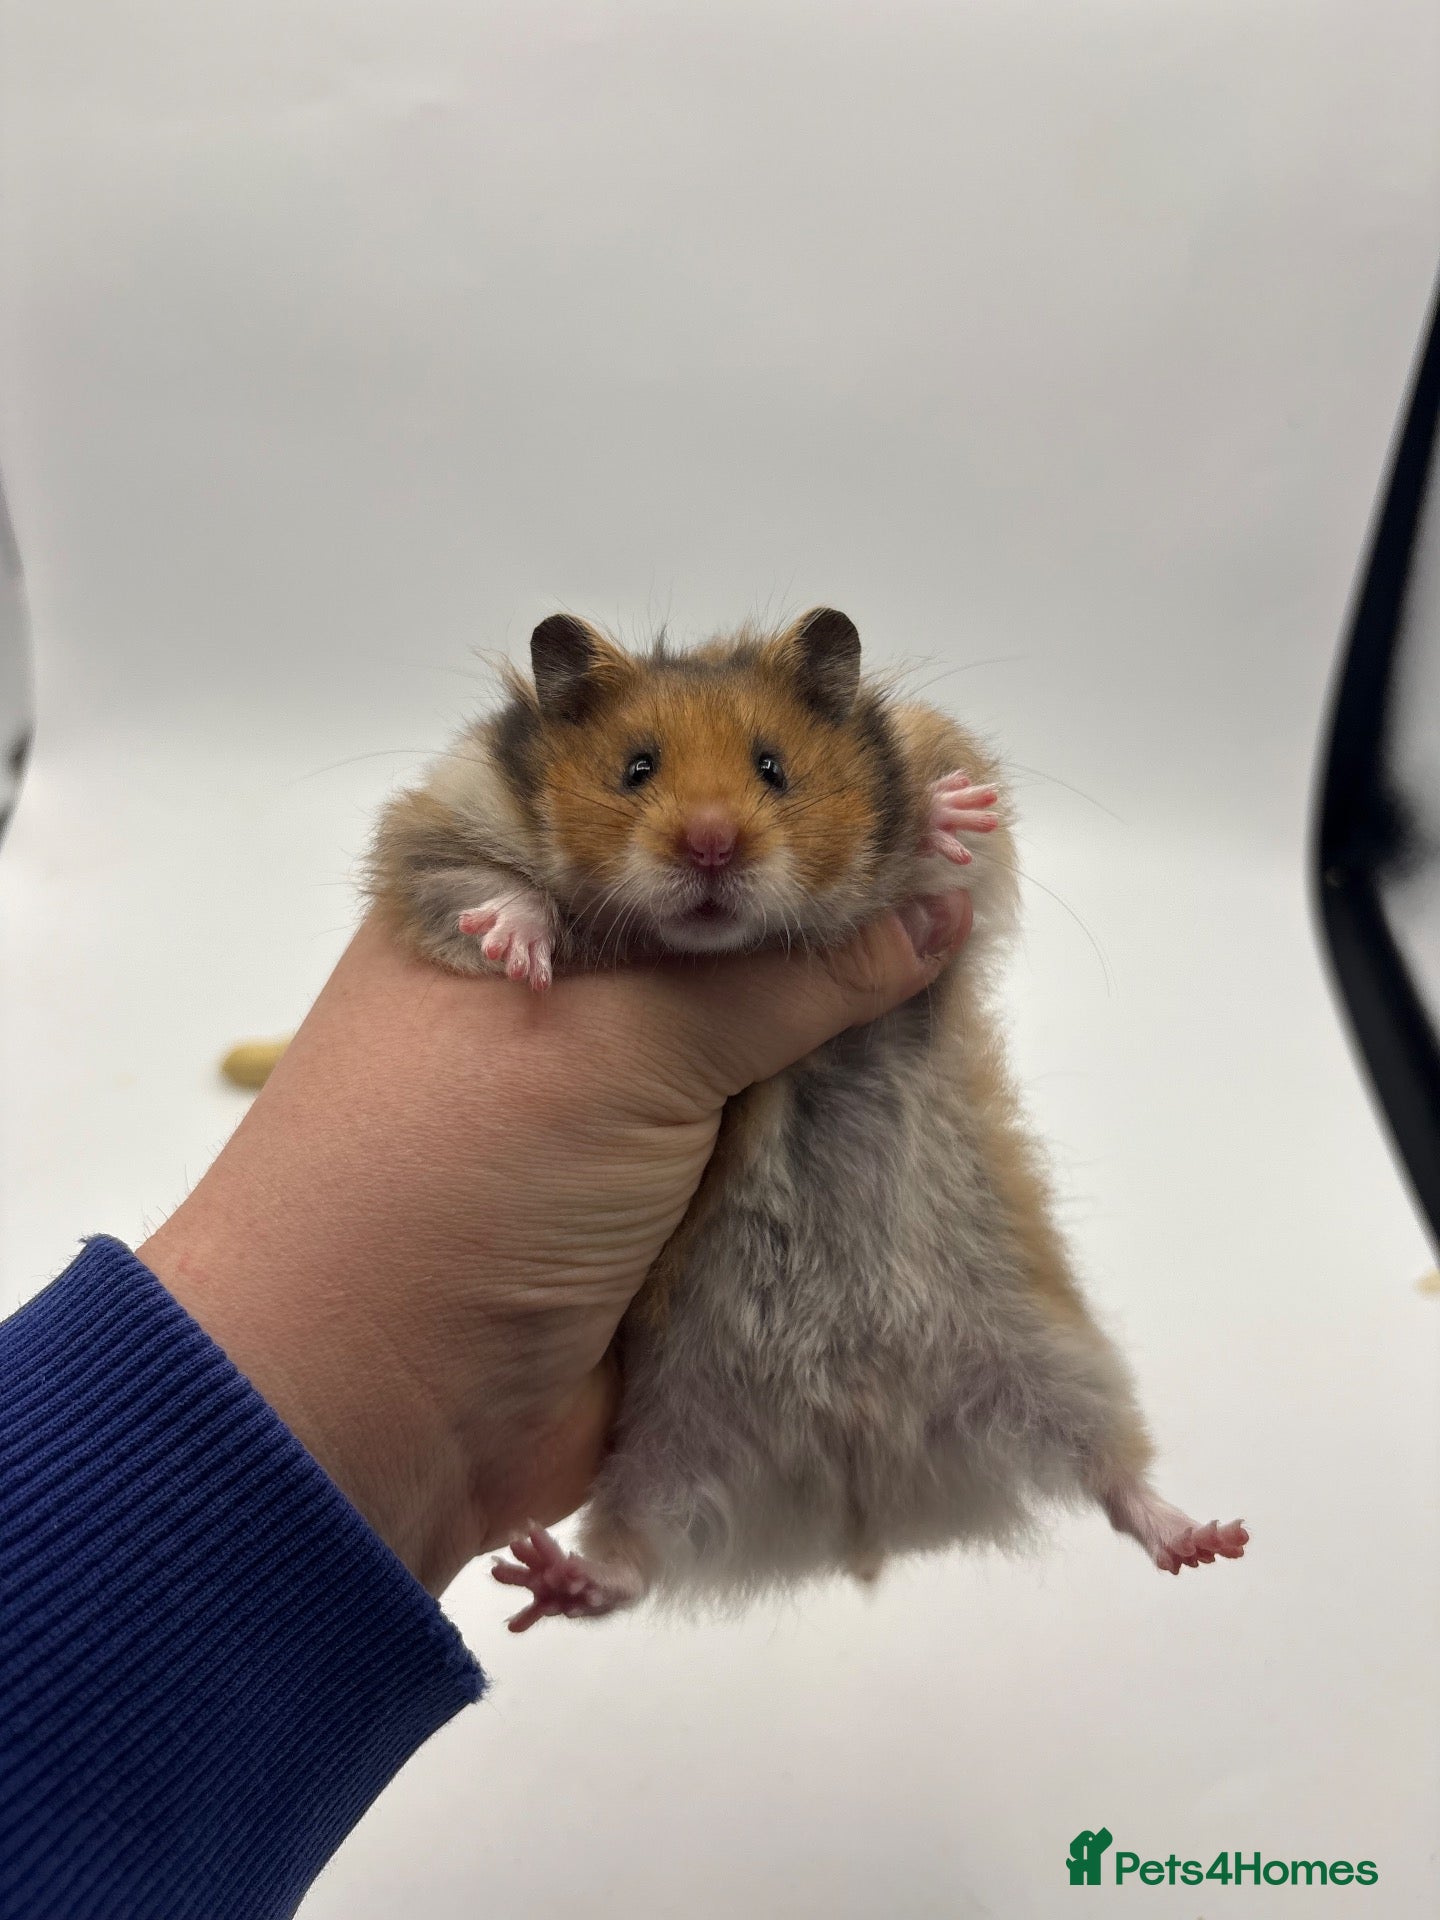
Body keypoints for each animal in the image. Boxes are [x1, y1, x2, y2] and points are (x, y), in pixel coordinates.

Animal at [367, 607, 1247, 1628]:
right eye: (636, 767)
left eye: (772, 767)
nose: (711, 846)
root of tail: (862, 1492)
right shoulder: (441, 828)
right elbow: (479, 884)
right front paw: (520, 948)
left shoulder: (954, 910)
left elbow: (940, 852)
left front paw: (947, 811)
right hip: (667, 1443)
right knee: (634, 1562)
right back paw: (548, 1577)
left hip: (1058, 1356)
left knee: (1114, 1476)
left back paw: (1207, 1540)